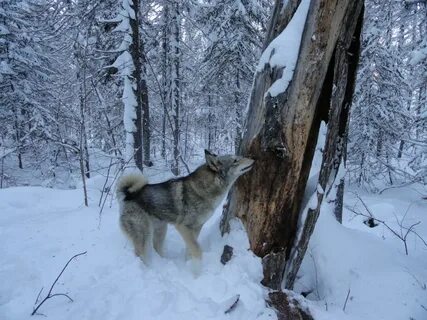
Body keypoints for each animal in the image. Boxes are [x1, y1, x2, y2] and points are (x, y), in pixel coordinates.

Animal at [115, 150, 254, 264]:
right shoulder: (183, 227)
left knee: (156, 247)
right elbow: (197, 249)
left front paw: (188, 264)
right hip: (143, 234)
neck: (206, 189)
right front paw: (197, 271)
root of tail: (128, 195)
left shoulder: (196, 228)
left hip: (160, 230)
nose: (253, 159)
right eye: (235, 160)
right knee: (140, 255)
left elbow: (191, 249)